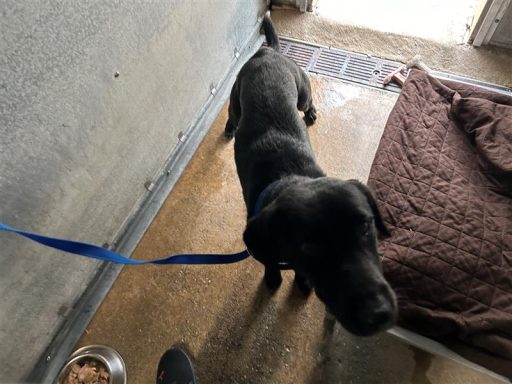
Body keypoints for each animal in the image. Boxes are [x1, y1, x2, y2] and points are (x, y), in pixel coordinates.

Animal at [224, 14, 396, 336]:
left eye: (366, 226)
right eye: (311, 246)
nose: (378, 314)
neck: (288, 176)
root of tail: (269, 52)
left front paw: (301, 283)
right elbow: (271, 263)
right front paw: (273, 279)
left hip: (301, 93)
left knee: (308, 101)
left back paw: (312, 113)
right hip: (236, 99)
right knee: (231, 114)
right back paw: (229, 127)